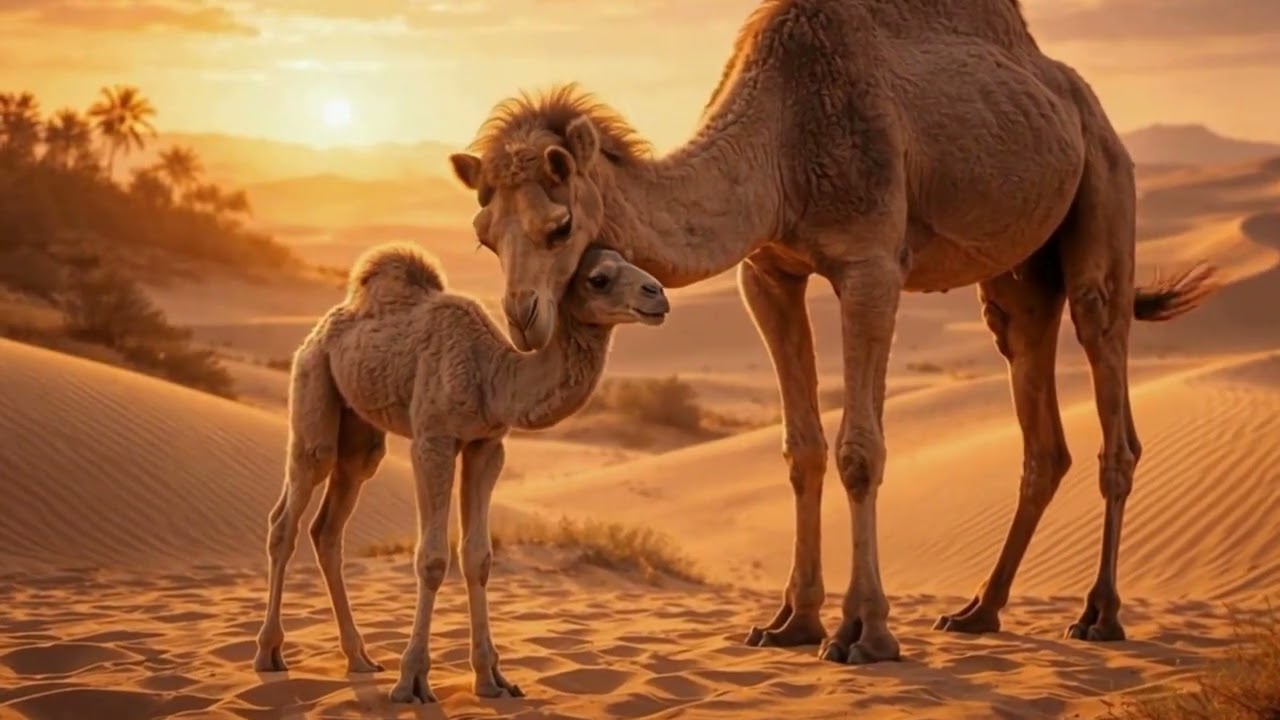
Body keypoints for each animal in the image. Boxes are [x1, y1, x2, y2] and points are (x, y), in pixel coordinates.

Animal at [251, 243, 670, 703]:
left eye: (634, 263)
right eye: (599, 279)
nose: (658, 295)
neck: (493, 375)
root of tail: (321, 329)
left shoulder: (486, 445)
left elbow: (478, 557)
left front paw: (492, 680)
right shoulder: (433, 441)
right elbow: (433, 558)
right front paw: (412, 681)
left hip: (359, 431)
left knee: (330, 523)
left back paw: (359, 657)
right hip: (313, 385)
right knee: (289, 511)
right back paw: (269, 653)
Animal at [445, 0, 1219, 665]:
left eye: (561, 225)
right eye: (483, 235)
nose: (521, 317)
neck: (780, 144)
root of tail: (1085, 105)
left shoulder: (870, 265)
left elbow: (859, 451)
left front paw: (864, 633)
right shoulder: (766, 272)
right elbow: (802, 449)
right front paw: (792, 621)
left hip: (1105, 192)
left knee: (1106, 362)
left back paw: (1100, 615)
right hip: (1017, 274)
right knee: (1039, 423)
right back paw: (978, 611)